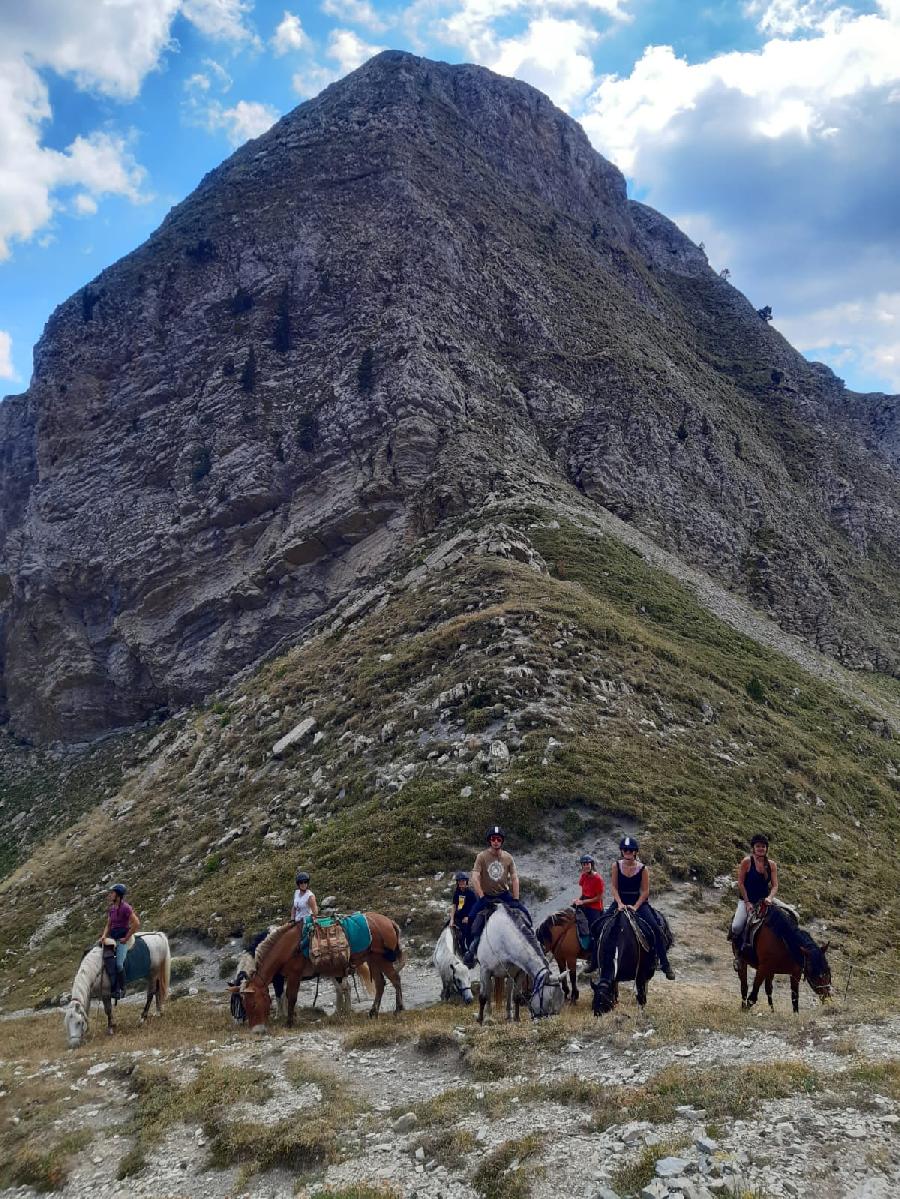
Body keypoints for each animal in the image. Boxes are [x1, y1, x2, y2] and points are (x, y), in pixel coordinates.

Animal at [240, 906, 407, 1031]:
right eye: (244, 1005)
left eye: (253, 1004)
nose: (256, 1030)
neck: (288, 947)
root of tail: (389, 922)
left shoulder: (294, 975)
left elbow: (290, 996)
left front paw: (289, 1022)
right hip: (373, 960)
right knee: (380, 984)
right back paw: (373, 1012)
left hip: (381, 959)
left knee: (395, 979)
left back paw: (398, 1009)